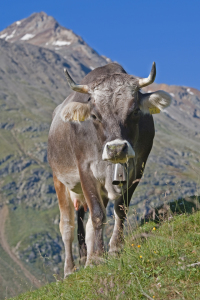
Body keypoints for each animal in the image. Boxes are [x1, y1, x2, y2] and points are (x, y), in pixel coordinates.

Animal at [47, 61, 171, 276]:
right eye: (95, 115)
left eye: (135, 111)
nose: (116, 148)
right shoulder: (85, 169)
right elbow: (97, 215)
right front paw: (98, 257)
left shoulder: (138, 167)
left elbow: (120, 209)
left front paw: (113, 249)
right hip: (59, 179)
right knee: (67, 227)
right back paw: (70, 269)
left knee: (87, 224)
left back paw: (88, 260)